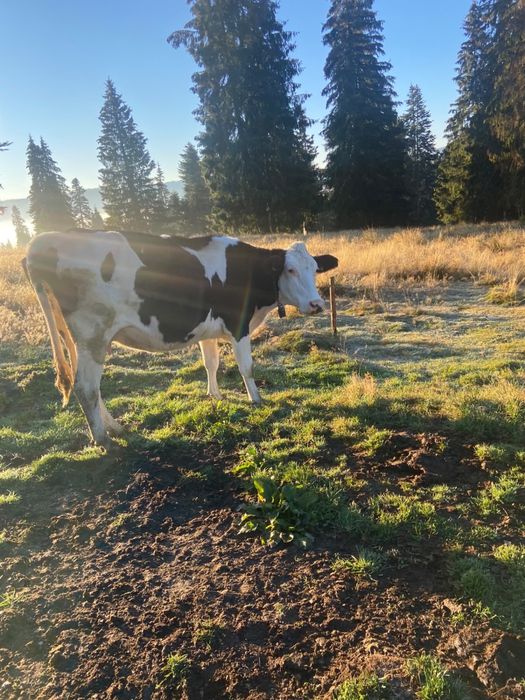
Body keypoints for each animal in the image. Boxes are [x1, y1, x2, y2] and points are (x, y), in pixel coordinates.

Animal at [24, 229, 338, 446]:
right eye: (290, 270)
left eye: (315, 269)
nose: (317, 304)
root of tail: (43, 240)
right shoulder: (239, 325)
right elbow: (246, 367)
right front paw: (256, 399)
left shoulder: (207, 329)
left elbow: (211, 363)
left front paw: (215, 395)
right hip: (94, 334)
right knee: (86, 387)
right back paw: (104, 440)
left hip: (78, 338)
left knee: (90, 386)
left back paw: (114, 427)